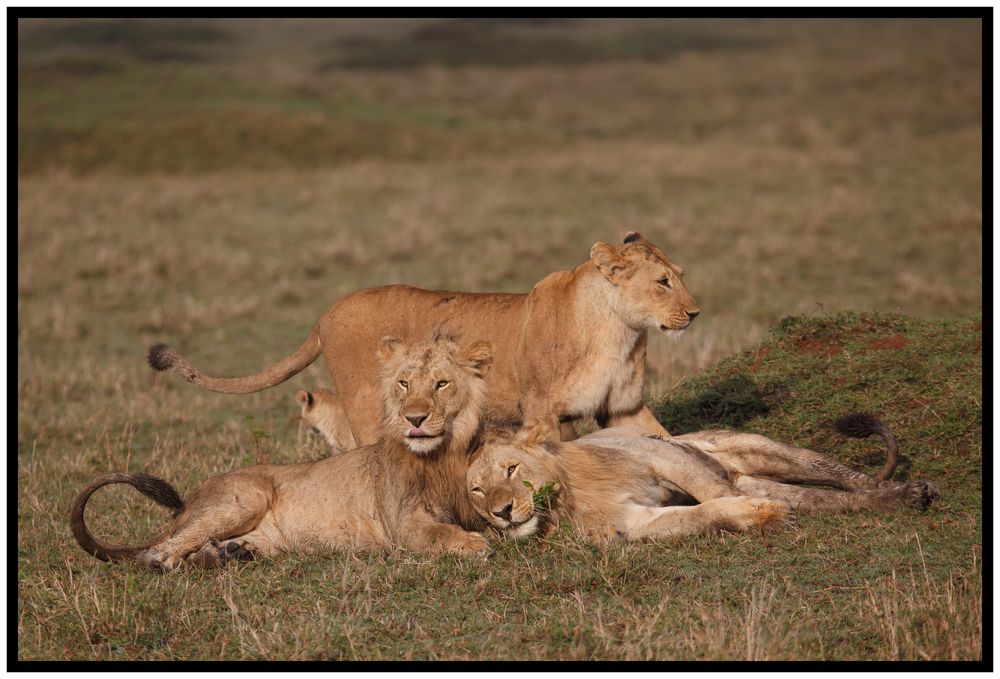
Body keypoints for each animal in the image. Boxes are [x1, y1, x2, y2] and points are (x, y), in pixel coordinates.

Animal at [68, 334, 498, 568]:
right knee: (154, 553)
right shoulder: (403, 524)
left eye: (442, 384)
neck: (440, 455)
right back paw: (185, 560)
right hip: (246, 497)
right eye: (404, 384)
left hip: (267, 539)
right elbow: (438, 534)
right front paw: (474, 545)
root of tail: (185, 507)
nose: (415, 419)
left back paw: (228, 555)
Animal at [148, 231, 700, 448]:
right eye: (662, 282)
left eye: (681, 275)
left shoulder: (623, 408)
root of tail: (326, 313)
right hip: (370, 409)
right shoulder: (543, 412)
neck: (619, 330)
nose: (694, 312)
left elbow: (668, 443)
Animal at [466, 414, 936, 540]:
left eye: (511, 468)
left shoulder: (655, 453)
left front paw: (763, 512)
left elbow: (710, 490)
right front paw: (762, 515)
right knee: (836, 499)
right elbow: (701, 514)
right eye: (477, 490)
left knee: (844, 476)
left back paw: (907, 490)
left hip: (756, 446)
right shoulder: (634, 524)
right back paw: (902, 495)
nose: (502, 512)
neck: (566, 497)